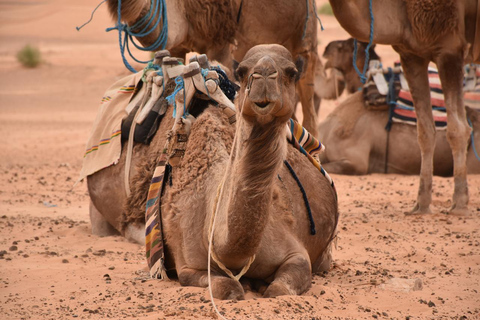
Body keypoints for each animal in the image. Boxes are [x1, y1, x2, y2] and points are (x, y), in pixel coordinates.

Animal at [328, 0, 480, 215]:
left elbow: (458, 128)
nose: (325, 50)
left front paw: (459, 204)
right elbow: (425, 131)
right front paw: (421, 206)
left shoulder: (451, 48)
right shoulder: (412, 54)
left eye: (342, 47)